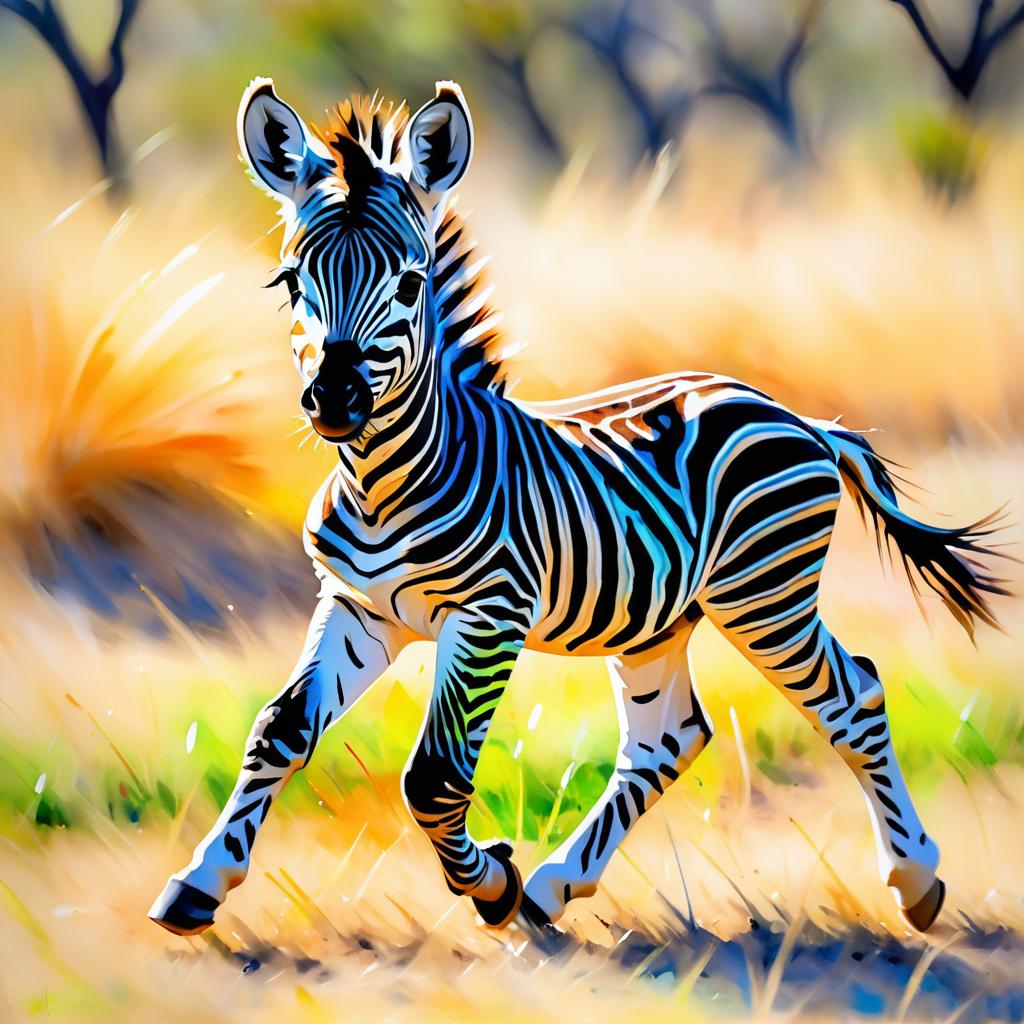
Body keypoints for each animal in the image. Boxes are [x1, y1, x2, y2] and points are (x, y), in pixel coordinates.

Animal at [148, 77, 1003, 942]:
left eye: (411, 284)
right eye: (291, 282)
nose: (334, 399)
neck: (385, 482)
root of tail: (800, 419)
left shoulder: (489, 618)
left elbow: (434, 777)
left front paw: (491, 884)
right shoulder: (359, 607)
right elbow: (280, 729)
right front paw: (199, 884)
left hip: (765, 595)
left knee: (852, 698)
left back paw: (916, 880)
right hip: (662, 619)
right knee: (668, 738)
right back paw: (555, 886)